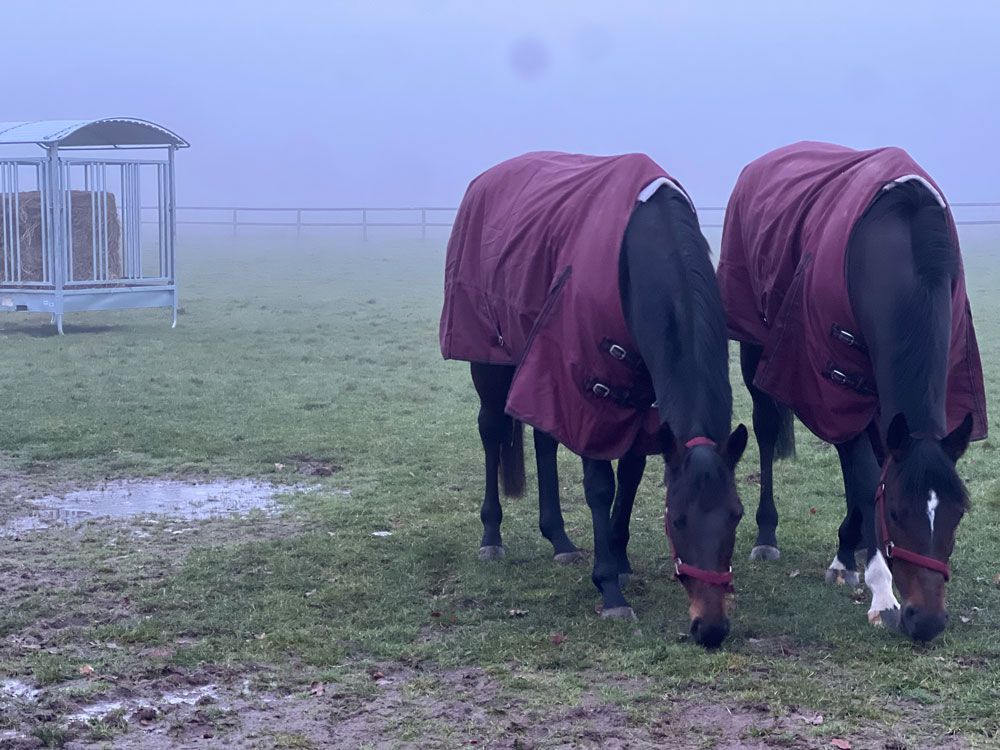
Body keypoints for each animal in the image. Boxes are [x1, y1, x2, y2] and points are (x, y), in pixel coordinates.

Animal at [441, 152, 747, 648]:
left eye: (736, 515)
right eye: (678, 519)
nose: (711, 628)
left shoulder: (643, 403)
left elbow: (632, 477)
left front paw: (619, 562)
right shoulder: (589, 389)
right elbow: (601, 486)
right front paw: (609, 588)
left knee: (544, 439)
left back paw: (560, 540)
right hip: (489, 360)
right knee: (490, 431)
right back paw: (491, 536)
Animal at [718, 142, 987, 642]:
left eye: (959, 512)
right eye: (896, 513)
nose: (927, 622)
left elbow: (870, 473)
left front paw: (852, 550)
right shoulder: (835, 386)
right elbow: (864, 480)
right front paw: (883, 595)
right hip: (753, 349)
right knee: (765, 431)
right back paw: (768, 536)